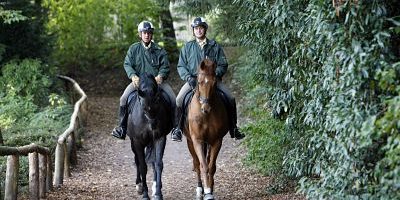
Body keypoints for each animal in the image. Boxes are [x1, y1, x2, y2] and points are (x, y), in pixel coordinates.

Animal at [184, 58, 228, 199]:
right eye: (199, 82)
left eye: (215, 83)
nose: (206, 108)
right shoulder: (197, 140)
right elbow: (203, 165)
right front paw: (206, 190)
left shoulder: (216, 141)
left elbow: (211, 166)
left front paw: (210, 190)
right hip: (190, 142)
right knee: (197, 164)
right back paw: (199, 190)